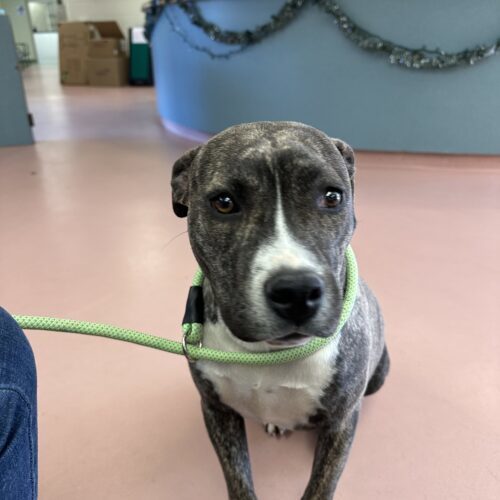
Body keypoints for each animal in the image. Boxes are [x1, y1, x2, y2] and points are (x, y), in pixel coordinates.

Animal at [171, 121, 389, 499]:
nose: (297, 291)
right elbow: (238, 479)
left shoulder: (341, 422)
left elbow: (320, 486)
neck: (266, 355)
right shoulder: (216, 410)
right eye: (224, 203)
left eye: (332, 197)